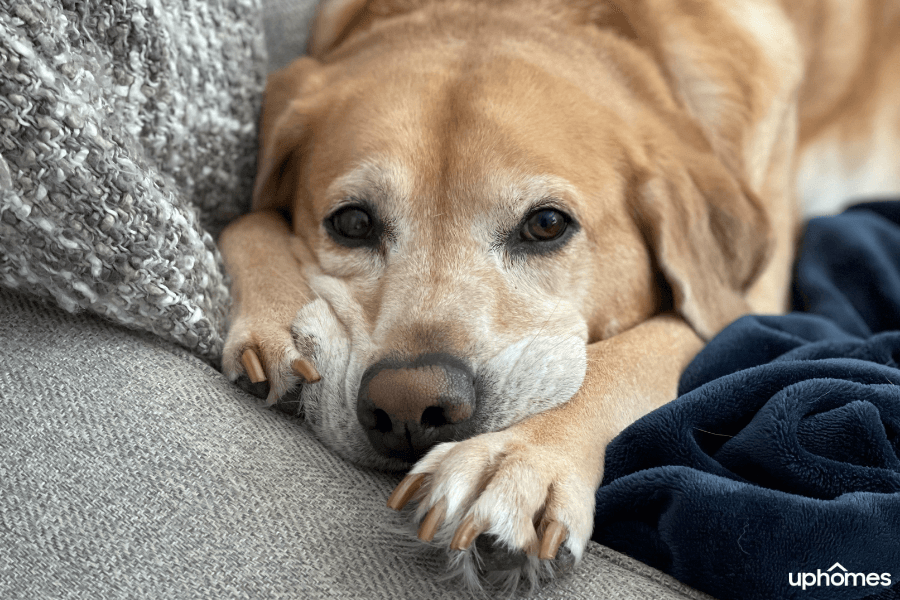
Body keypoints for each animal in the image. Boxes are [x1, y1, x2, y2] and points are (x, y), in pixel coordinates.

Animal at [220, 0, 900, 584]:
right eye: (353, 223)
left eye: (546, 224)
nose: (410, 407)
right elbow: (243, 219)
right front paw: (278, 318)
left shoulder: (741, 305)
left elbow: (619, 361)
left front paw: (520, 461)